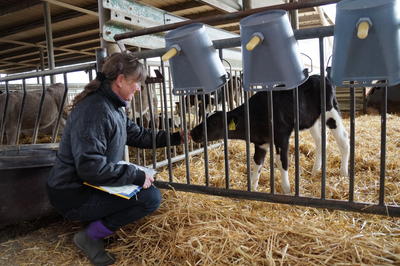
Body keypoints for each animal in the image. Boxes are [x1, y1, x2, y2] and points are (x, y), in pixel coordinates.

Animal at [189, 74, 348, 193]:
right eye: (204, 117)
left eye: (213, 123)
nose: (192, 132)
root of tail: (320, 76)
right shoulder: (261, 143)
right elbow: (257, 163)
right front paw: (253, 187)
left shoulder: (282, 137)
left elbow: (282, 162)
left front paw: (287, 190)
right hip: (312, 120)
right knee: (321, 141)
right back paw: (315, 171)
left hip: (331, 111)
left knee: (344, 140)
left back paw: (343, 173)